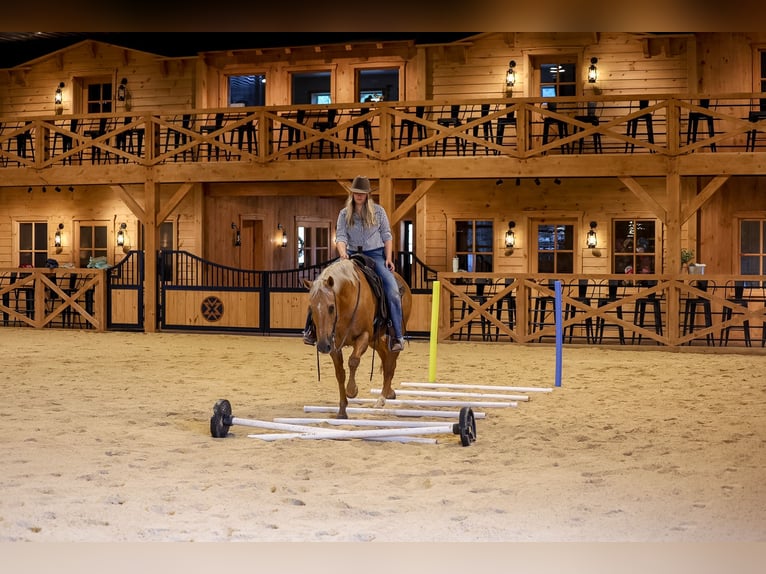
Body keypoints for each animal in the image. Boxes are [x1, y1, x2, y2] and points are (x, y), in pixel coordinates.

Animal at [302, 258, 412, 419]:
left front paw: (352, 390)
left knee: (390, 364)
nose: (322, 346)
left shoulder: (363, 336)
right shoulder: (333, 343)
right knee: (385, 359)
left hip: (392, 337)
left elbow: (353, 361)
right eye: (312, 307)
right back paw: (389, 392)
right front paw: (342, 410)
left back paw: (381, 399)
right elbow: (340, 373)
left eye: (331, 307)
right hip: (375, 340)